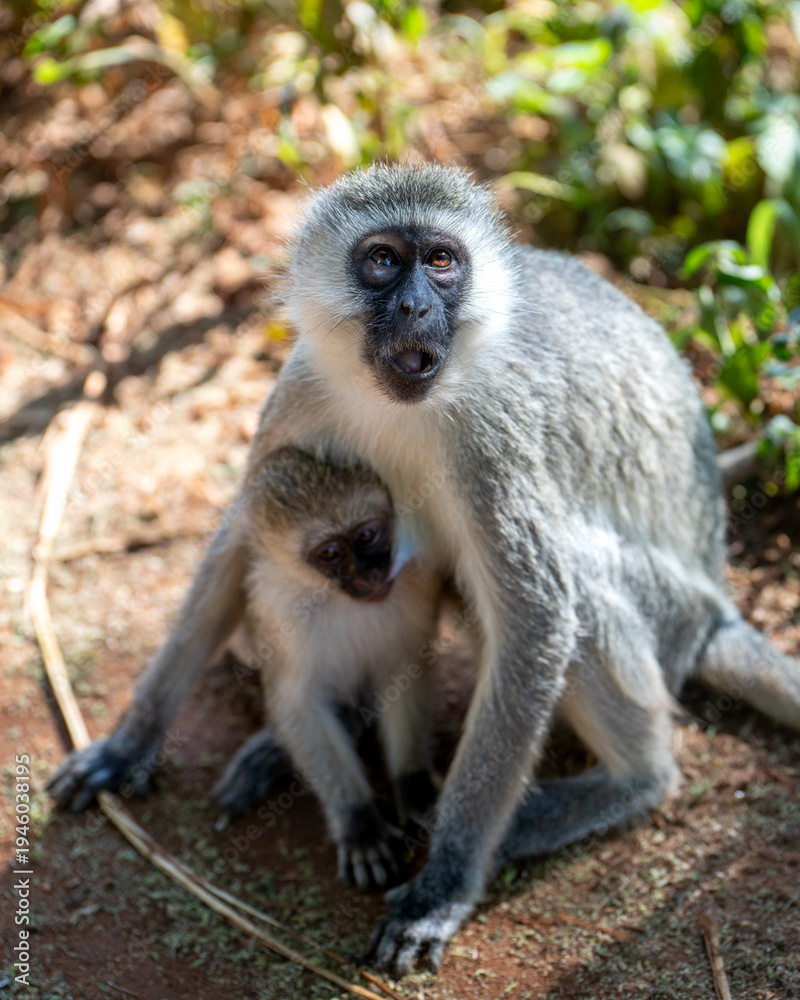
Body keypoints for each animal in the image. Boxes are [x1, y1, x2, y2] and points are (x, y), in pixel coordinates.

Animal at [47, 163, 800, 975]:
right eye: (382, 260)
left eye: (440, 261)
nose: (413, 304)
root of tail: (717, 603)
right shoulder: (300, 391)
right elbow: (240, 535)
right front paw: (128, 743)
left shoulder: (495, 441)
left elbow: (537, 618)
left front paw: (444, 882)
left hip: (671, 613)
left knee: (579, 586)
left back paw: (633, 782)